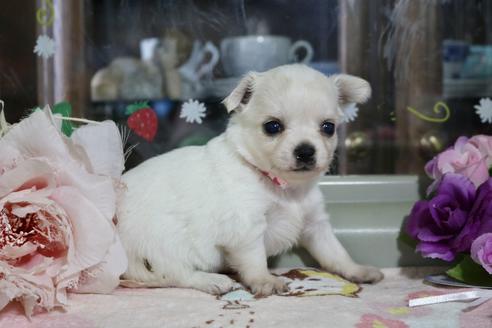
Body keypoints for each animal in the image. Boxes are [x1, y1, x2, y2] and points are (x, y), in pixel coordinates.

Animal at [116, 63, 384, 294]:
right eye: (272, 127)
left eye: (328, 127)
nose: (306, 151)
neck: (284, 188)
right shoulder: (247, 228)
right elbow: (255, 259)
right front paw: (265, 280)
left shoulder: (315, 226)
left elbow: (335, 252)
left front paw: (357, 270)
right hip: (164, 245)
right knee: (177, 275)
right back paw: (212, 280)